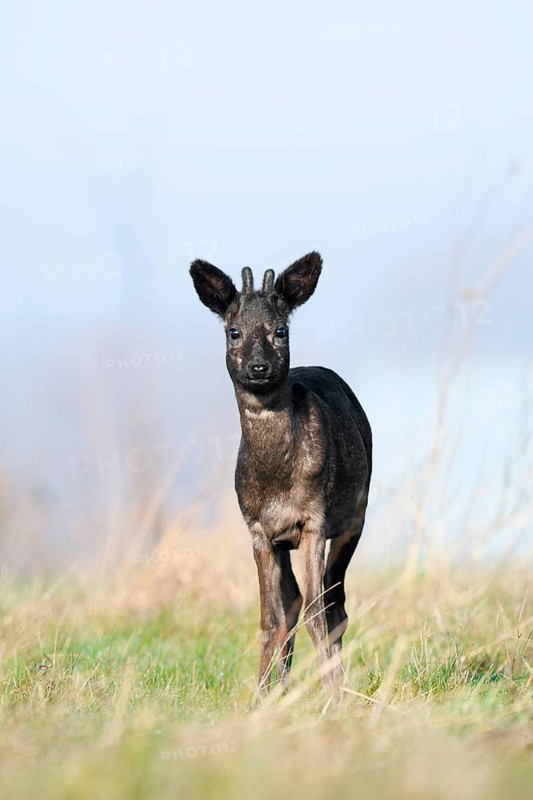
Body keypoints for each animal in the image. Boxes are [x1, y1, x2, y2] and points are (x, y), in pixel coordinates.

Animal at [189, 252, 372, 693]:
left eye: (280, 330)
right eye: (233, 331)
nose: (259, 367)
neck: (277, 481)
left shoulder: (313, 520)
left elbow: (317, 614)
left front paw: (332, 694)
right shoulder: (258, 529)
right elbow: (271, 619)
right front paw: (261, 695)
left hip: (355, 517)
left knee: (334, 603)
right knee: (294, 604)